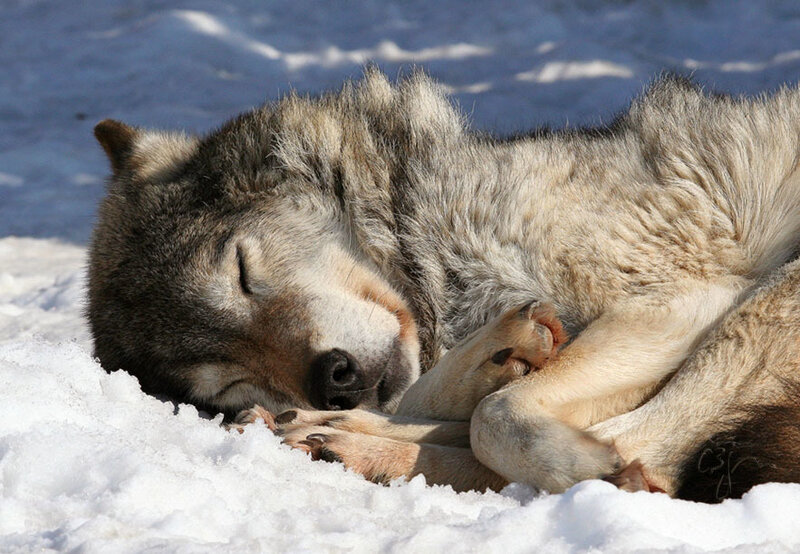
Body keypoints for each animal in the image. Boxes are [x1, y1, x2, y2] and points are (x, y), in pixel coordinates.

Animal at [89, 69, 800, 502]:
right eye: (228, 380)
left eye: (241, 271)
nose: (332, 378)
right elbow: (454, 402)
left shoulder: (681, 298)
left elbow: (494, 418)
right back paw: (329, 435)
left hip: (774, 295)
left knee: (643, 448)